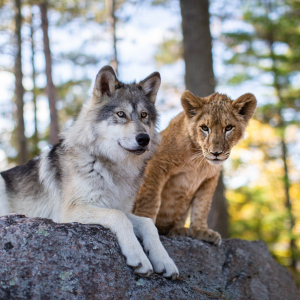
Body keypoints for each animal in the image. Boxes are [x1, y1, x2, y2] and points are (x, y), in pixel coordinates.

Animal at [0, 65, 178, 278]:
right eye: (121, 114)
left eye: (144, 116)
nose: (144, 139)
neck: (110, 166)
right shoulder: (69, 212)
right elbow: (118, 218)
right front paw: (138, 256)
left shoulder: (119, 207)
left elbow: (148, 223)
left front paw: (164, 260)